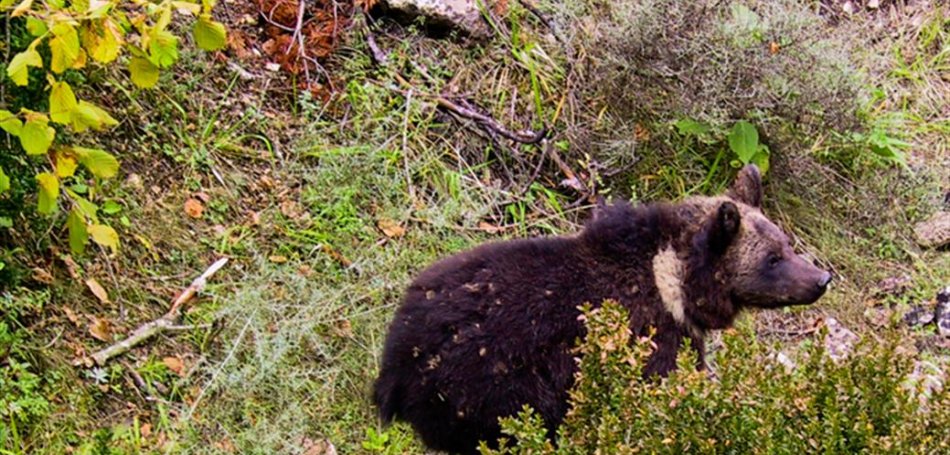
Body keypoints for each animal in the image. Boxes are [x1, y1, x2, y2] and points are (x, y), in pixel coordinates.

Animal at [372, 166, 832, 454]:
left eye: (785, 243)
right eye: (772, 258)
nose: (821, 278)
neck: (676, 282)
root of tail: (396, 359)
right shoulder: (649, 336)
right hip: (490, 384)